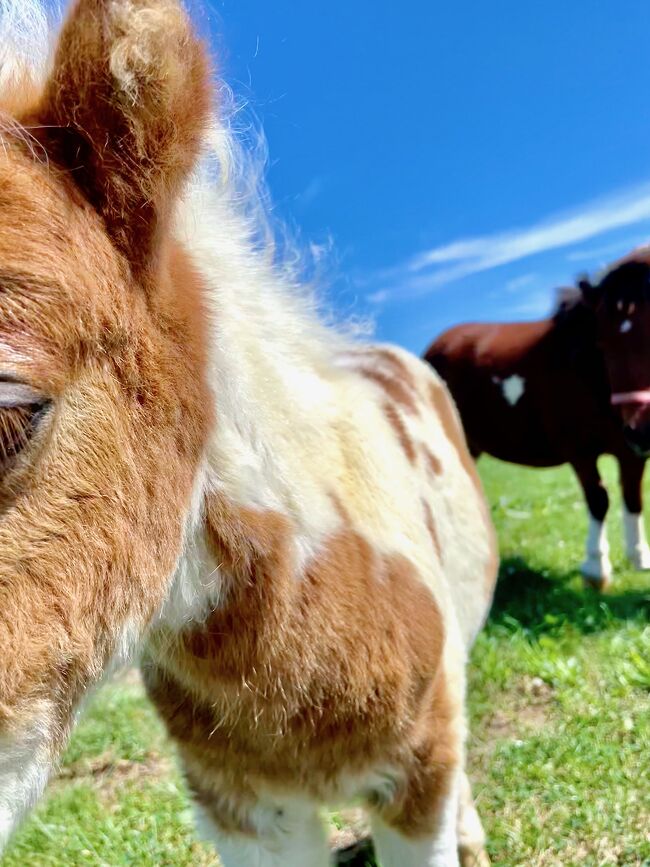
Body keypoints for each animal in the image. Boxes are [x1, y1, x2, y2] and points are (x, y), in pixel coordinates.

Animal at [422, 251, 650, 588]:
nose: (644, 429)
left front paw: (639, 556)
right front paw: (596, 567)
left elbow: (632, 498)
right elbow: (599, 499)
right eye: (603, 343)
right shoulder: (580, 451)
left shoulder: (631, 452)